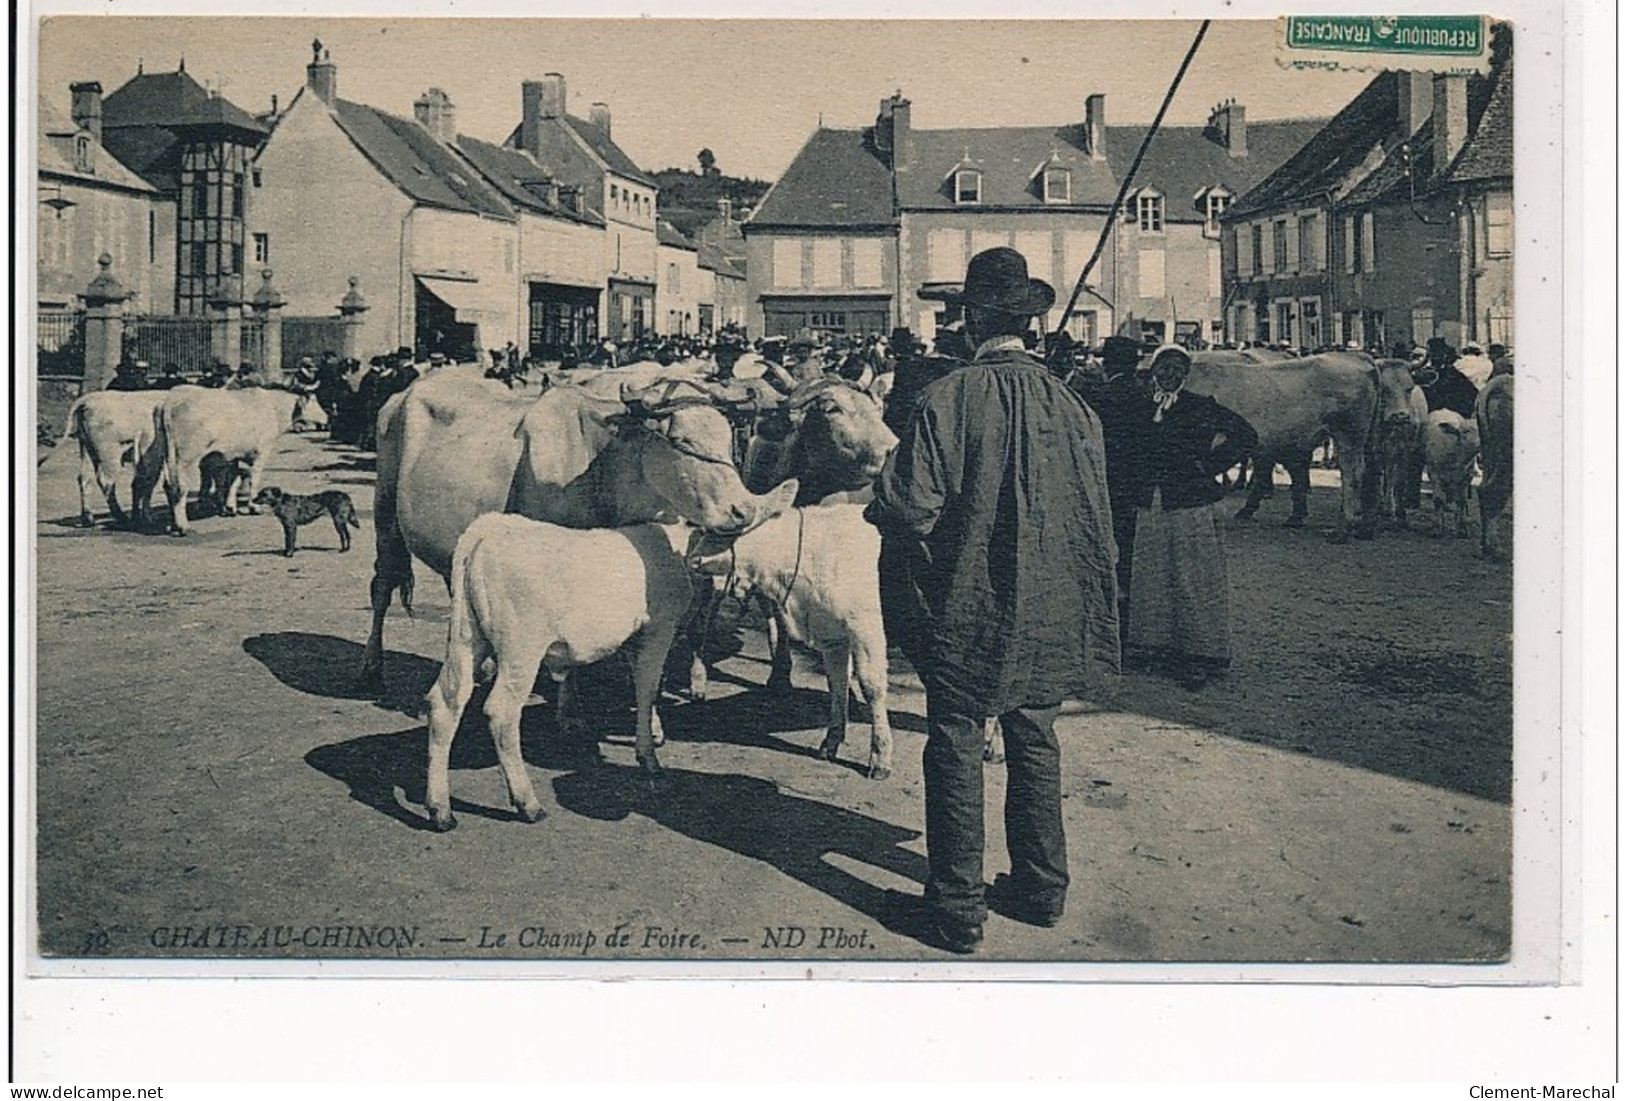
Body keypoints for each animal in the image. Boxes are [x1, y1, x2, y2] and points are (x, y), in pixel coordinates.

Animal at [682, 503, 897, 779]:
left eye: (725, 531)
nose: (693, 559)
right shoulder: (832, 635)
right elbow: (836, 684)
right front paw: (831, 742)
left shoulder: (867, 629)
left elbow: (873, 688)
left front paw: (880, 757)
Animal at [1430, 409, 1482, 539]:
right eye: (1466, 431)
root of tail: (1444, 409)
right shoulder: (1435, 474)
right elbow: (1438, 499)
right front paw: (1437, 529)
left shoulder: (1466, 477)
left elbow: (1462, 501)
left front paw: (1462, 529)